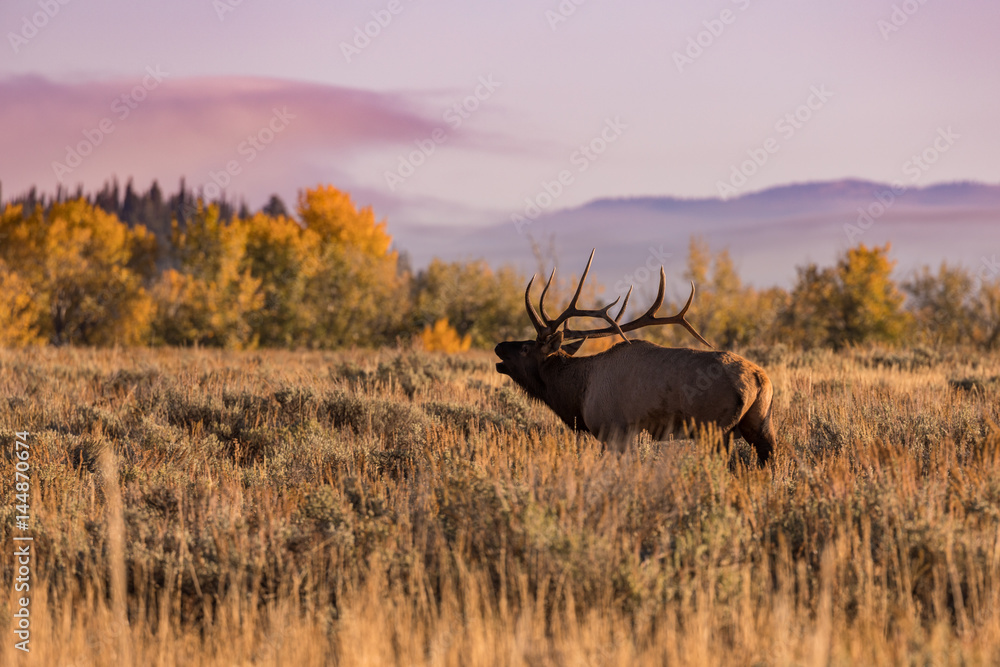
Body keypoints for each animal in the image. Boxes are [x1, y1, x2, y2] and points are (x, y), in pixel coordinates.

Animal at [496, 252, 776, 470]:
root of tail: (759, 379)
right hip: (760, 423)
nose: (499, 347)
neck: (578, 392)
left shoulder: (614, 430)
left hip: (715, 428)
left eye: (526, 348)